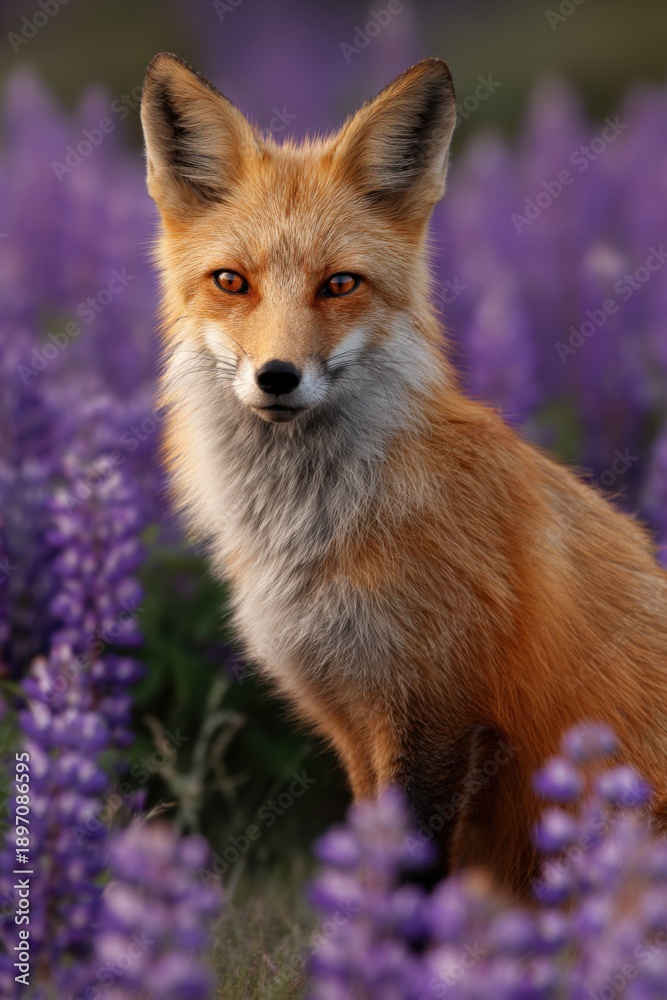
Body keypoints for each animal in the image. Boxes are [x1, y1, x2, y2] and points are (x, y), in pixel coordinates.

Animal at [141, 53, 667, 896]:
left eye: (339, 284)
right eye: (230, 282)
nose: (276, 376)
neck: (316, 531)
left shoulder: (440, 712)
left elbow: (410, 876)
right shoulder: (352, 717)